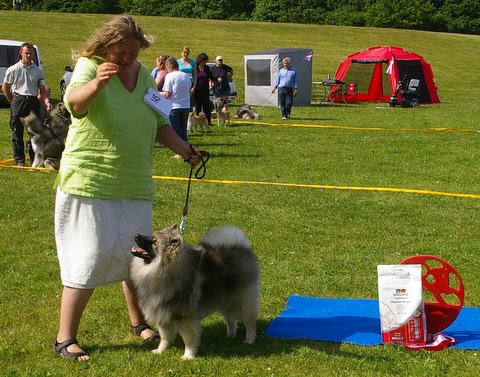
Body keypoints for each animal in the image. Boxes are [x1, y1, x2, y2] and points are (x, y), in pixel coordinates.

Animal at [129, 223, 260, 358]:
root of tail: (242, 248)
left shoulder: (184, 317)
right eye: (151, 236)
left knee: (249, 321)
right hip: (224, 298)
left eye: (154, 242)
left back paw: (250, 339)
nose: (137, 235)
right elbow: (165, 337)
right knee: (230, 318)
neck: (161, 269)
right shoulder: (163, 313)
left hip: (241, 300)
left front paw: (188, 355)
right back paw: (230, 335)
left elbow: (188, 338)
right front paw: (160, 350)